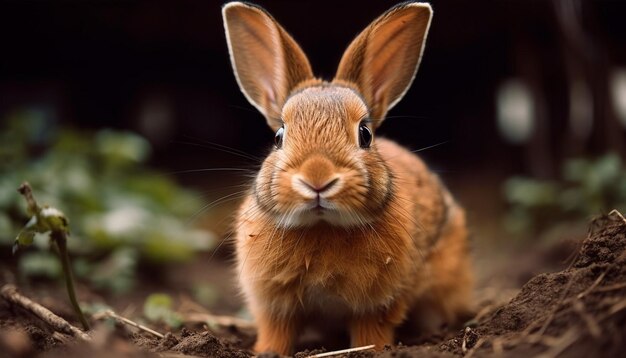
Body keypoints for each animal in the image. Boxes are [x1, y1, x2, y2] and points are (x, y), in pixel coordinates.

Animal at [222, 1, 470, 356]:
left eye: (365, 134)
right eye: (279, 136)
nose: (318, 177)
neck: (322, 226)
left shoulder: (379, 303)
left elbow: (370, 332)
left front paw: (374, 350)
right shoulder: (273, 304)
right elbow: (276, 330)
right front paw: (267, 351)